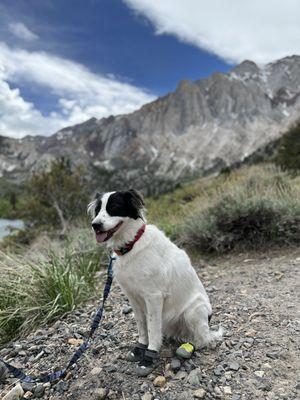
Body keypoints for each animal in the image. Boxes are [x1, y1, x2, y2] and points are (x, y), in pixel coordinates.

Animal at [88, 190, 221, 376]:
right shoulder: (133, 297)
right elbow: (142, 327)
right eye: (98, 209)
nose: (95, 225)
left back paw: (188, 347)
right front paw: (140, 348)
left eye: (114, 207)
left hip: (194, 311)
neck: (131, 245)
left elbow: (152, 328)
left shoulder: (153, 297)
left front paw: (148, 358)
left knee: (202, 339)